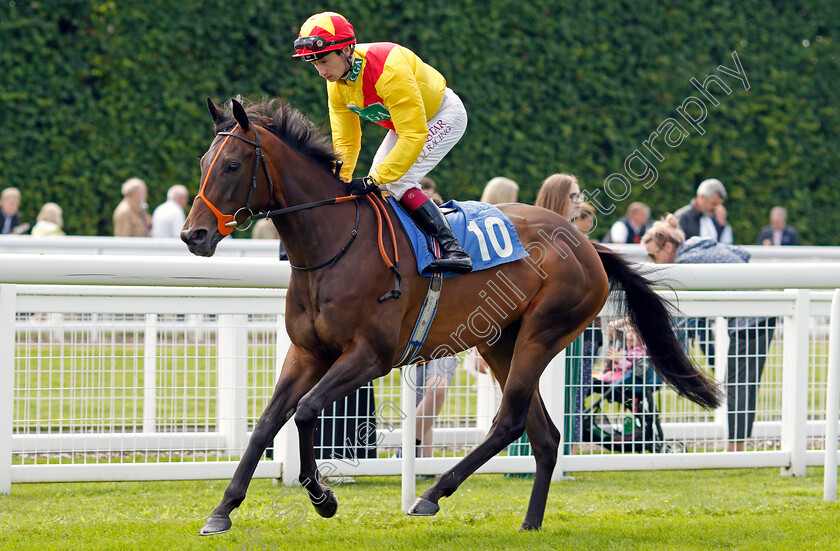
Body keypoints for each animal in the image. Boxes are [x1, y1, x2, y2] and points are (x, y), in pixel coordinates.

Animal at [180, 98, 720, 536]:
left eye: (232, 164)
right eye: (204, 162)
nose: (193, 236)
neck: (335, 243)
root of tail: (586, 243)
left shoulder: (370, 356)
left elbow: (308, 411)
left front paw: (323, 498)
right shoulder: (308, 351)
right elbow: (268, 422)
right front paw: (222, 510)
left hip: (542, 332)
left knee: (509, 421)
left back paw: (431, 495)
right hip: (499, 341)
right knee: (544, 435)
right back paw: (529, 522)